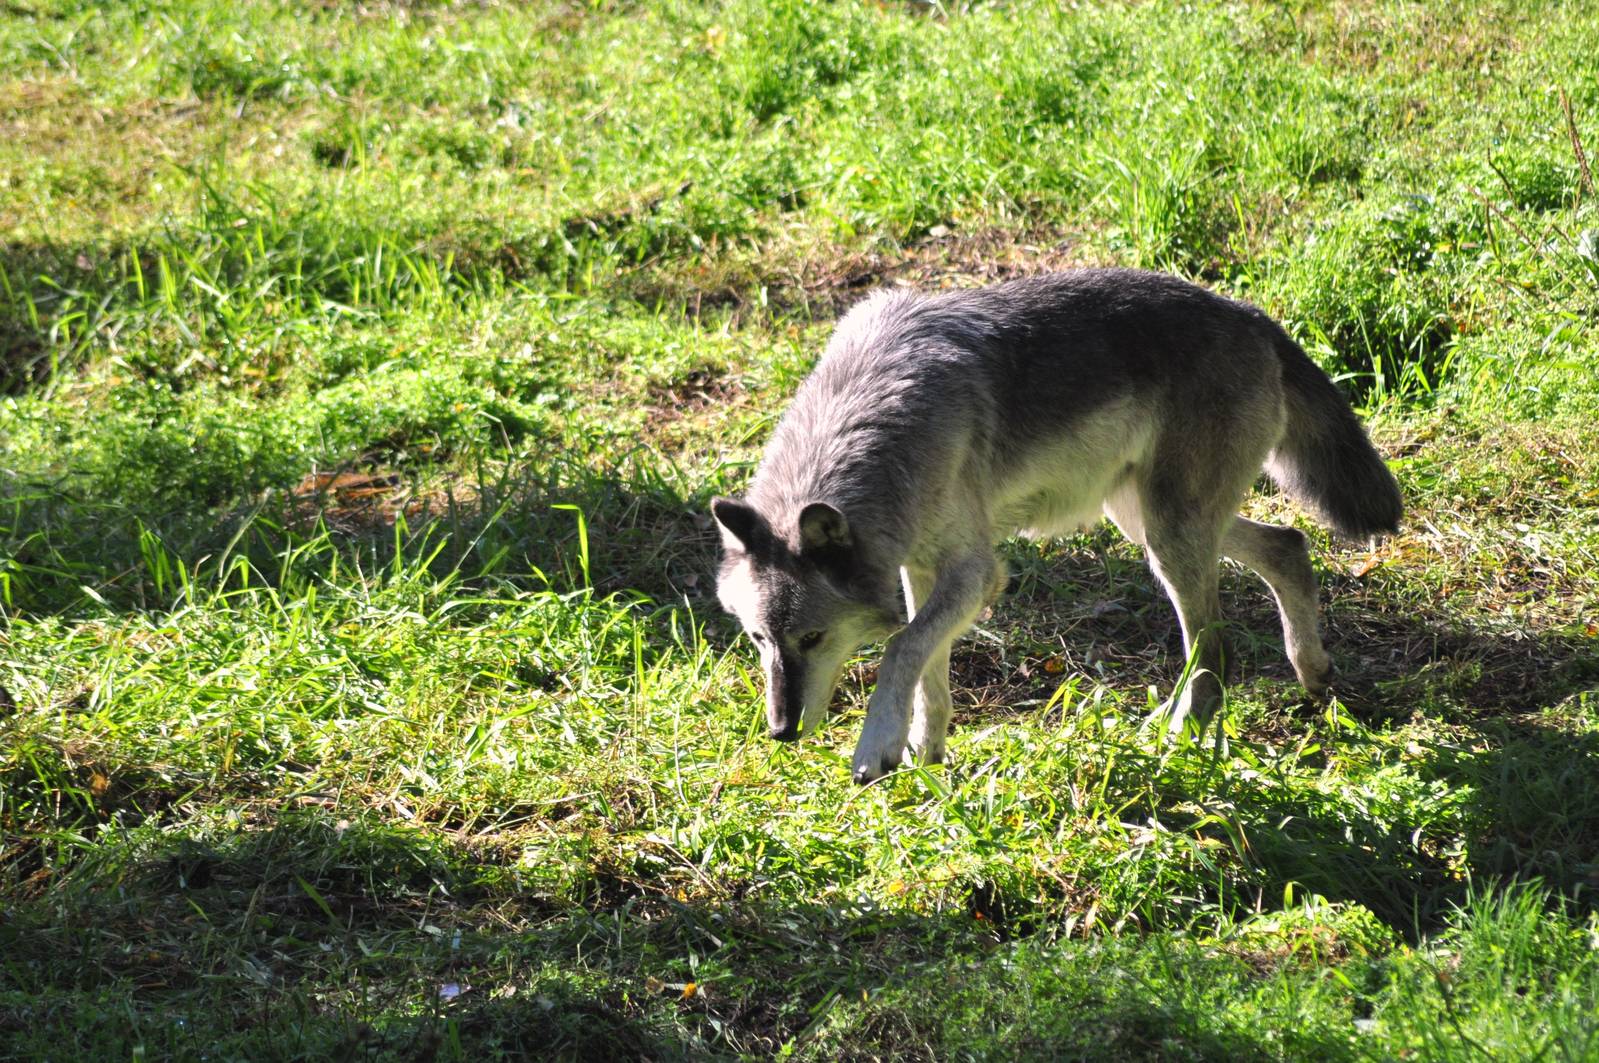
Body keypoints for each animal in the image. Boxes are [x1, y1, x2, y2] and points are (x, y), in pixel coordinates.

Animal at [712, 269, 1400, 785]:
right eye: (758, 640)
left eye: (812, 639)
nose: (781, 732)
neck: (875, 417)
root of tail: (1253, 314)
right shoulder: (920, 567)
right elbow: (927, 667)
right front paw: (924, 759)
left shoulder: (977, 573)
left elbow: (900, 646)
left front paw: (875, 746)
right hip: (1146, 522)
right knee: (1289, 545)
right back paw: (1313, 674)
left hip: (1169, 537)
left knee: (1215, 650)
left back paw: (1179, 738)